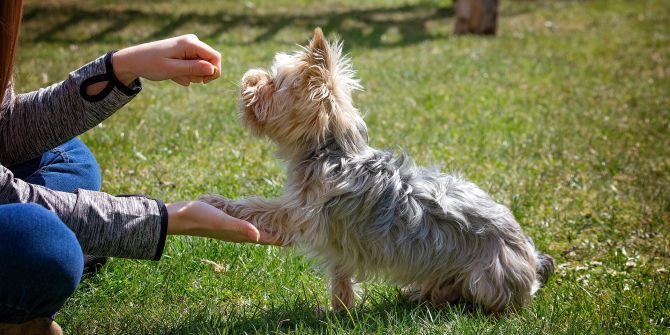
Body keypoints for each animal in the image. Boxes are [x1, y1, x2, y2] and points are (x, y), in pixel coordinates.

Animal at [201, 28, 556, 316]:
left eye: (273, 83)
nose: (248, 79)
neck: (330, 150)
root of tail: (531, 256)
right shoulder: (337, 242)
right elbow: (341, 278)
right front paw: (338, 311)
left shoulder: (302, 212)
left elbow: (260, 206)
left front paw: (219, 203)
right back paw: (423, 294)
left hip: (487, 277)